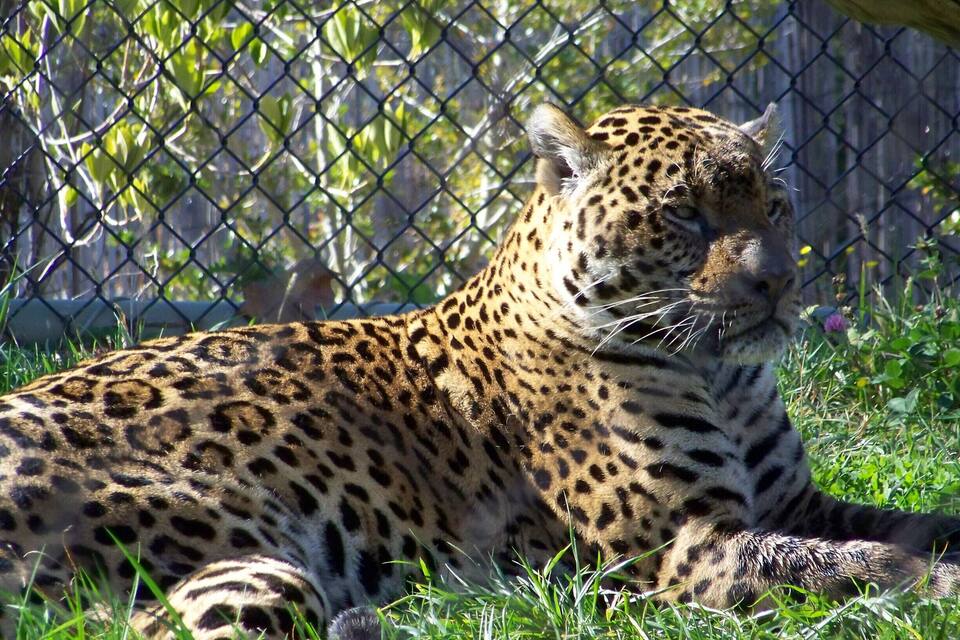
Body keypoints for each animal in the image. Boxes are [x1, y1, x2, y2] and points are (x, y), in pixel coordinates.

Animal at [2, 100, 960, 639]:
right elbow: (855, 565)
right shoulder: (684, 549)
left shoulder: (797, 500)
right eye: (684, 213)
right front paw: (940, 590)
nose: (778, 281)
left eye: (776, 203)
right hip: (241, 545)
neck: (721, 377)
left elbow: (914, 524)